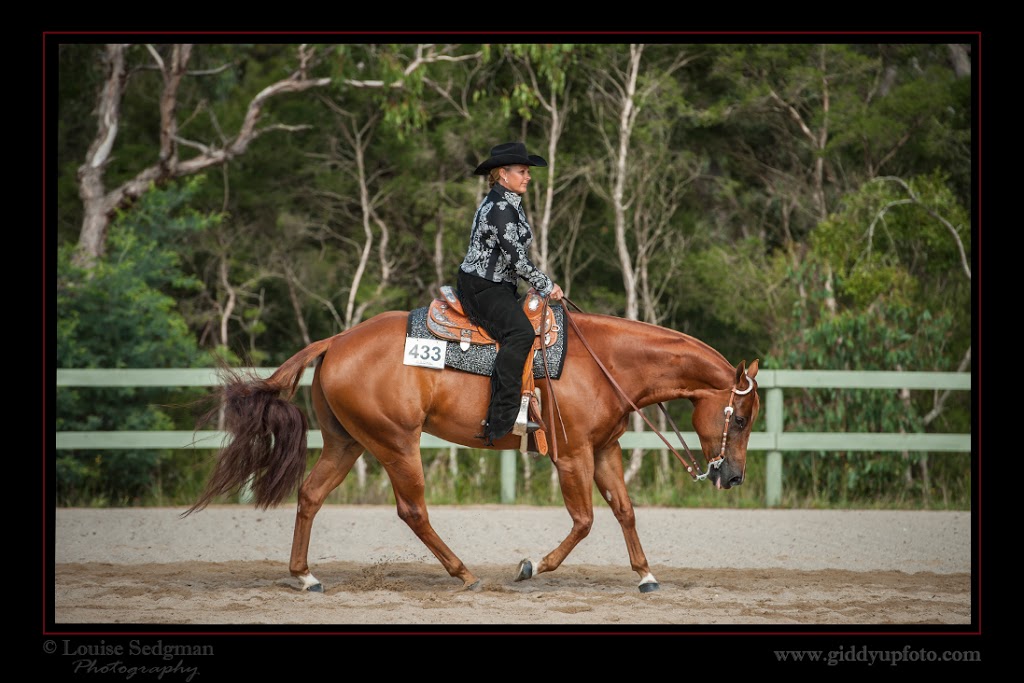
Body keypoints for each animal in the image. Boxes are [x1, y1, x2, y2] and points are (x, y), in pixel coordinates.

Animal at [186, 299, 761, 593]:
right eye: (741, 417)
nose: (732, 477)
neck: (607, 362)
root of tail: (336, 341)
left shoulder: (604, 452)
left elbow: (624, 511)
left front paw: (645, 574)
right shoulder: (572, 455)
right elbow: (584, 521)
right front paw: (531, 567)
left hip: (346, 443)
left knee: (310, 496)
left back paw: (304, 576)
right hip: (396, 443)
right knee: (412, 509)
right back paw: (462, 572)